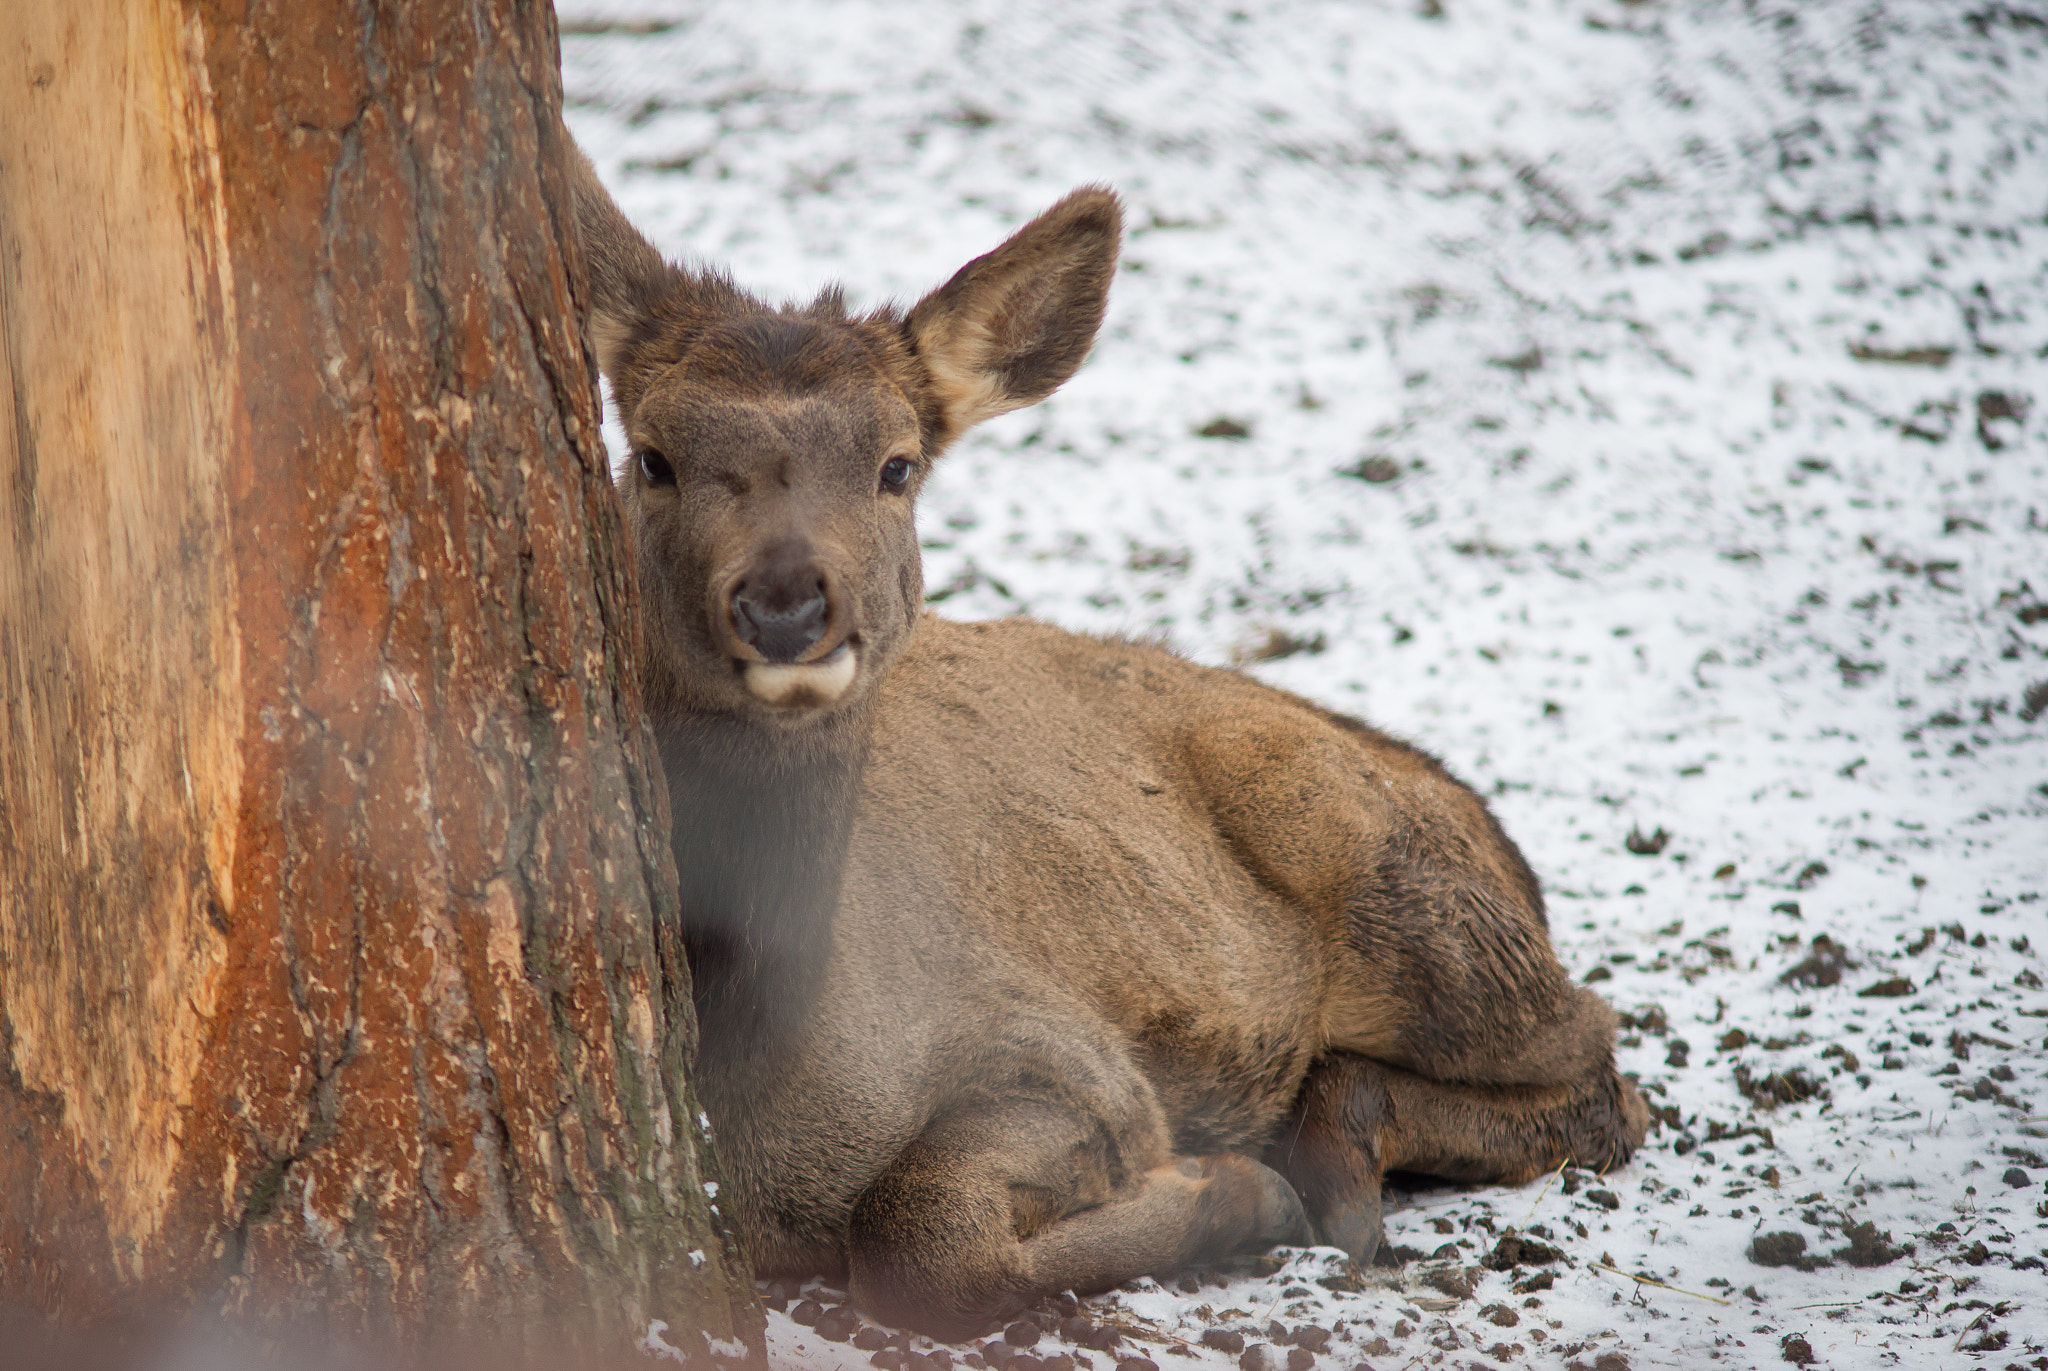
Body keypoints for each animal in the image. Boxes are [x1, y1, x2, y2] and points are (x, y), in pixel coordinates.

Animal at [561, 147, 1646, 1336]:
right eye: (653, 457)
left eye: (898, 464)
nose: (787, 605)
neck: (752, 1095)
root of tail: (1487, 827)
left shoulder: (1066, 1053)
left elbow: (918, 1236)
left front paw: (1226, 1189)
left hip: (1394, 882)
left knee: (1605, 1062)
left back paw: (1331, 1163)